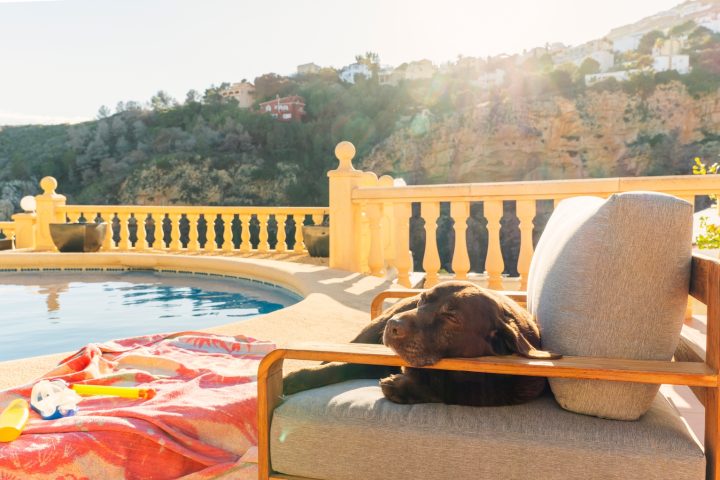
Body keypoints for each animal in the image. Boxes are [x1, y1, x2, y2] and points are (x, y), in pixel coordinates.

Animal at [283, 281, 560, 406]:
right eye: (423, 299)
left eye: (451, 317)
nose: (393, 325)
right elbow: (339, 366)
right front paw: (298, 377)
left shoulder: (514, 389)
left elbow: (454, 391)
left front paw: (400, 386)